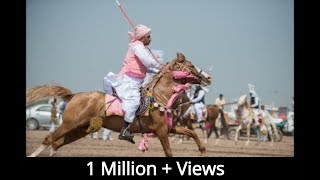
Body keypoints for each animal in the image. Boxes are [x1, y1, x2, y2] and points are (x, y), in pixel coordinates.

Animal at [27, 54, 211, 157]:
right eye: (191, 65)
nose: (208, 77)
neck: (159, 97)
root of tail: (74, 95)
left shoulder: (169, 128)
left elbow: (191, 132)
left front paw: (203, 150)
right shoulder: (162, 131)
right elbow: (169, 152)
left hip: (81, 129)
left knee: (57, 143)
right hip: (69, 124)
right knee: (50, 138)